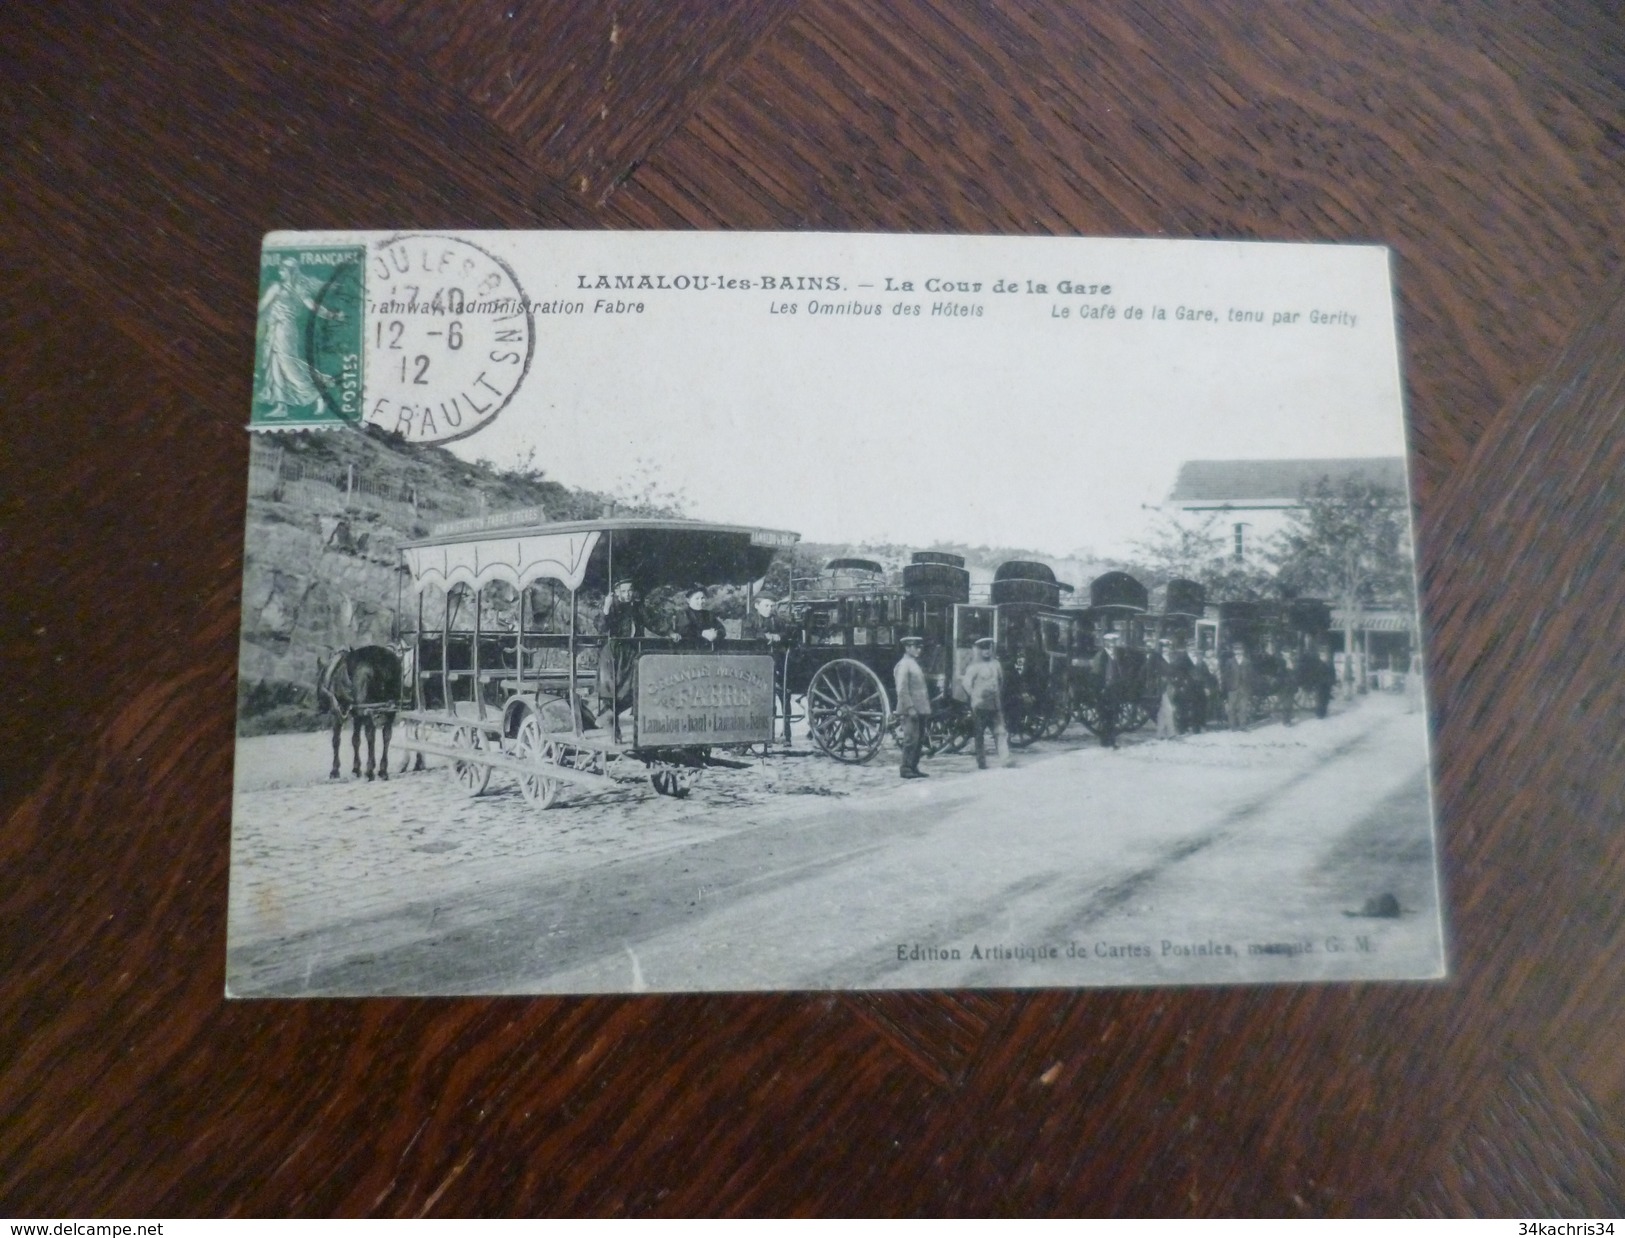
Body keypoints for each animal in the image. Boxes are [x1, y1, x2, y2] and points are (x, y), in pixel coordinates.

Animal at [316, 640, 403, 776]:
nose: (320, 706)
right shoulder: (356, 713)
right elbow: (355, 740)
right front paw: (356, 767)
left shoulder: (337, 713)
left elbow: (336, 740)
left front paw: (335, 770)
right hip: (388, 709)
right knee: (386, 735)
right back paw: (382, 769)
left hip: (367, 709)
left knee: (371, 734)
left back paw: (370, 769)